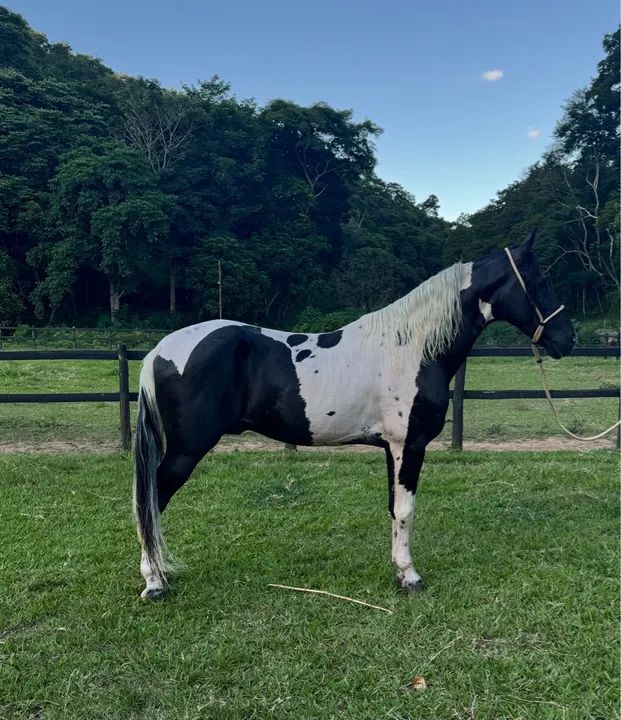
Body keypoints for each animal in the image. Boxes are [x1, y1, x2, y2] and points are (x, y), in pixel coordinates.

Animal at [133, 231, 576, 599]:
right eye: (540, 282)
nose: (567, 340)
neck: (412, 348)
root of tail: (159, 350)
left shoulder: (392, 447)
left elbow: (393, 508)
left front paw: (398, 571)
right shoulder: (409, 444)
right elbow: (406, 510)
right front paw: (411, 577)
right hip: (187, 450)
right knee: (149, 501)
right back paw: (154, 582)